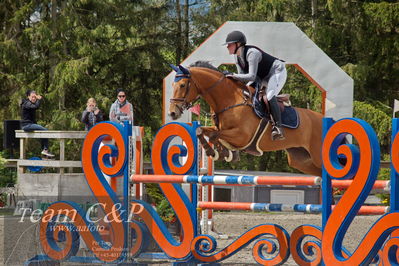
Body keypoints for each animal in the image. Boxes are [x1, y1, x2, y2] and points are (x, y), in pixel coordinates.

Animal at [169, 61, 324, 176]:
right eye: (172, 85)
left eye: (182, 85)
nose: (172, 113)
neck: (230, 99)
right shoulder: (220, 128)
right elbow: (201, 131)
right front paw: (217, 152)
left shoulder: (241, 136)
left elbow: (214, 135)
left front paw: (222, 153)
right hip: (301, 160)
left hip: (316, 156)